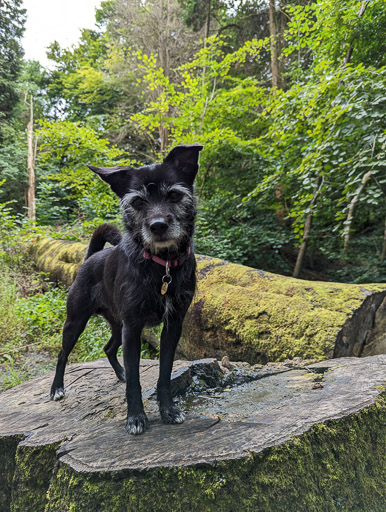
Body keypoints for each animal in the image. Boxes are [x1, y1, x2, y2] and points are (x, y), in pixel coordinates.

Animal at [49, 145, 204, 436]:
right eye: (138, 202)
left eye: (174, 195)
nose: (158, 226)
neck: (162, 265)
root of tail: (90, 258)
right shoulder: (133, 328)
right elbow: (135, 379)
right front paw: (135, 417)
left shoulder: (171, 326)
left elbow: (164, 373)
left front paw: (168, 410)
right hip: (76, 322)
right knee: (63, 354)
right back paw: (57, 388)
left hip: (116, 323)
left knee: (109, 348)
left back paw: (118, 373)